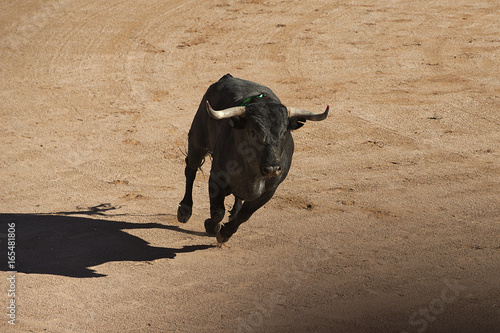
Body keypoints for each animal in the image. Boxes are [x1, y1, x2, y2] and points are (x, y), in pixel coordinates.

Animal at [176, 74, 328, 244]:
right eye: (253, 132)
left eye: (284, 132)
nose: (272, 168)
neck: (253, 171)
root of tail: (227, 77)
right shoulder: (217, 176)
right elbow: (217, 211)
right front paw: (212, 227)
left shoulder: (269, 190)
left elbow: (245, 214)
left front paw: (225, 233)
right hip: (198, 140)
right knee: (191, 170)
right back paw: (185, 210)